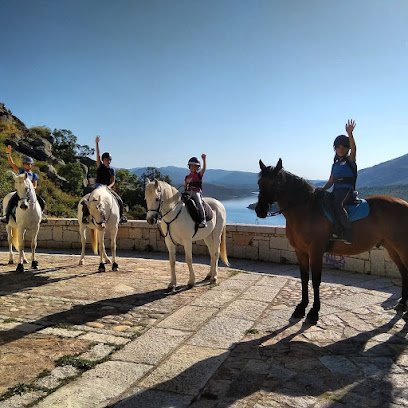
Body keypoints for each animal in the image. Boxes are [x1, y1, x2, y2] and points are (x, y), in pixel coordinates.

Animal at [255, 158, 408, 324]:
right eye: (259, 183)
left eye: (274, 183)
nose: (259, 210)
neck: (306, 210)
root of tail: (405, 204)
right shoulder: (300, 251)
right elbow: (304, 278)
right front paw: (301, 307)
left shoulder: (316, 251)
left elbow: (316, 280)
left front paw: (314, 312)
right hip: (392, 248)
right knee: (404, 271)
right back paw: (402, 304)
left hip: (402, 247)